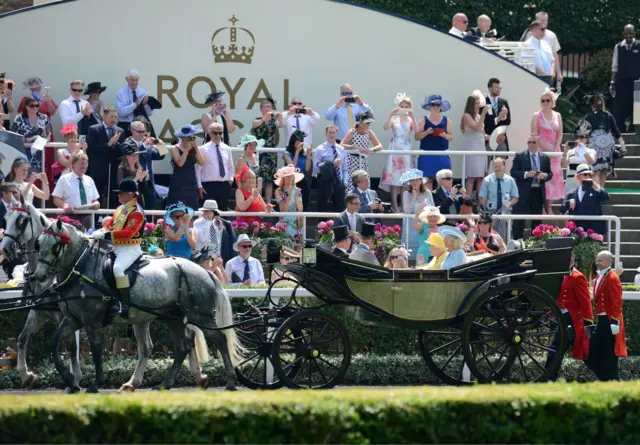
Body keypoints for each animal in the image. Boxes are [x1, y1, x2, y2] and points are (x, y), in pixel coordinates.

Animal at [30, 219, 240, 392]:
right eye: (38, 243)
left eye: (56, 245)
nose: (39, 276)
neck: (82, 268)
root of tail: (204, 271)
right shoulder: (73, 319)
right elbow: (53, 342)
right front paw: (69, 380)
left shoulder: (92, 320)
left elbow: (96, 349)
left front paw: (96, 383)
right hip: (173, 318)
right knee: (182, 347)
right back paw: (165, 383)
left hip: (201, 316)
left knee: (220, 340)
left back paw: (230, 381)